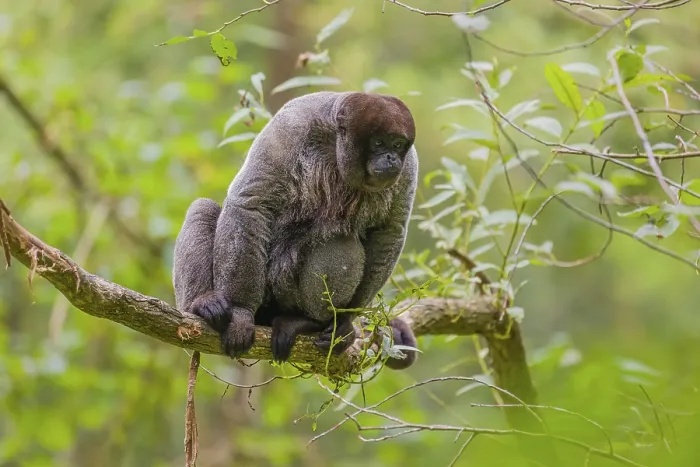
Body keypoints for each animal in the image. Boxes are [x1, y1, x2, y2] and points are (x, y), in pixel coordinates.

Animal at [172, 91, 419, 369]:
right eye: (378, 143)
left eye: (397, 145)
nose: (391, 158)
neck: (336, 143)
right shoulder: (290, 126)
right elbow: (250, 202)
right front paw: (240, 312)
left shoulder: (409, 166)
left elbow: (390, 231)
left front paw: (345, 322)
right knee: (202, 208)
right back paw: (202, 305)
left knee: (341, 242)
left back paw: (309, 322)